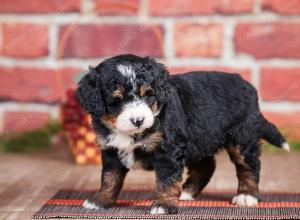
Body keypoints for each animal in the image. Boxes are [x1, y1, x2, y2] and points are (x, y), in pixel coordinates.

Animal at [76, 54, 290, 214]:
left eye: (148, 95)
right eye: (116, 101)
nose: (138, 120)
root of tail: (248, 85)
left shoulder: (167, 150)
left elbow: (166, 180)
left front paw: (163, 205)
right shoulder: (111, 151)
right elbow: (109, 179)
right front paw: (100, 201)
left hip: (242, 138)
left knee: (249, 166)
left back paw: (247, 196)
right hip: (198, 140)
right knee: (206, 166)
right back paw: (188, 192)